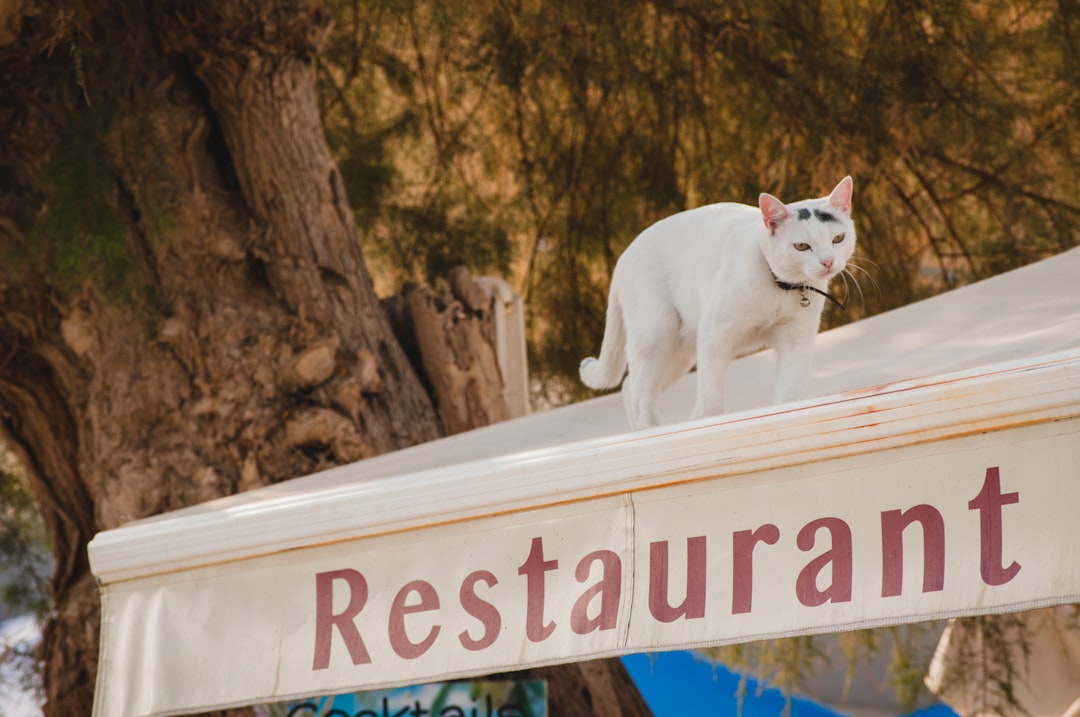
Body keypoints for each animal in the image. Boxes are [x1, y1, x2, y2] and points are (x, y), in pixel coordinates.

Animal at [578, 176, 855, 427]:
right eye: (801, 246)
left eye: (838, 239)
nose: (828, 261)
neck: (779, 287)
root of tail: (622, 257)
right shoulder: (714, 336)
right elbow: (711, 402)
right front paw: (701, 424)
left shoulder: (796, 341)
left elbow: (789, 396)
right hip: (657, 336)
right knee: (638, 391)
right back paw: (650, 433)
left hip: (678, 353)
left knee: (629, 387)